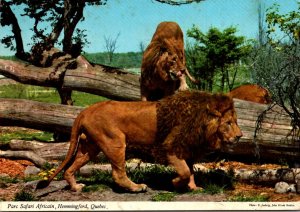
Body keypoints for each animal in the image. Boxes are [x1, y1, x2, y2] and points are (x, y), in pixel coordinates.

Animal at [37, 90, 243, 193]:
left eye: (235, 121)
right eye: (228, 123)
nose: (240, 136)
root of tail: (86, 109)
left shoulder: (187, 149)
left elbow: (191, 172)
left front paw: (193, 188)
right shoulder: (170, 148)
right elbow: (184, 172)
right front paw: (176, 184)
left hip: (90, 148)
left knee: (70, 168)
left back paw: (75, 187)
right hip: (116, 142)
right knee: (118, 174)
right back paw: (137, 188)